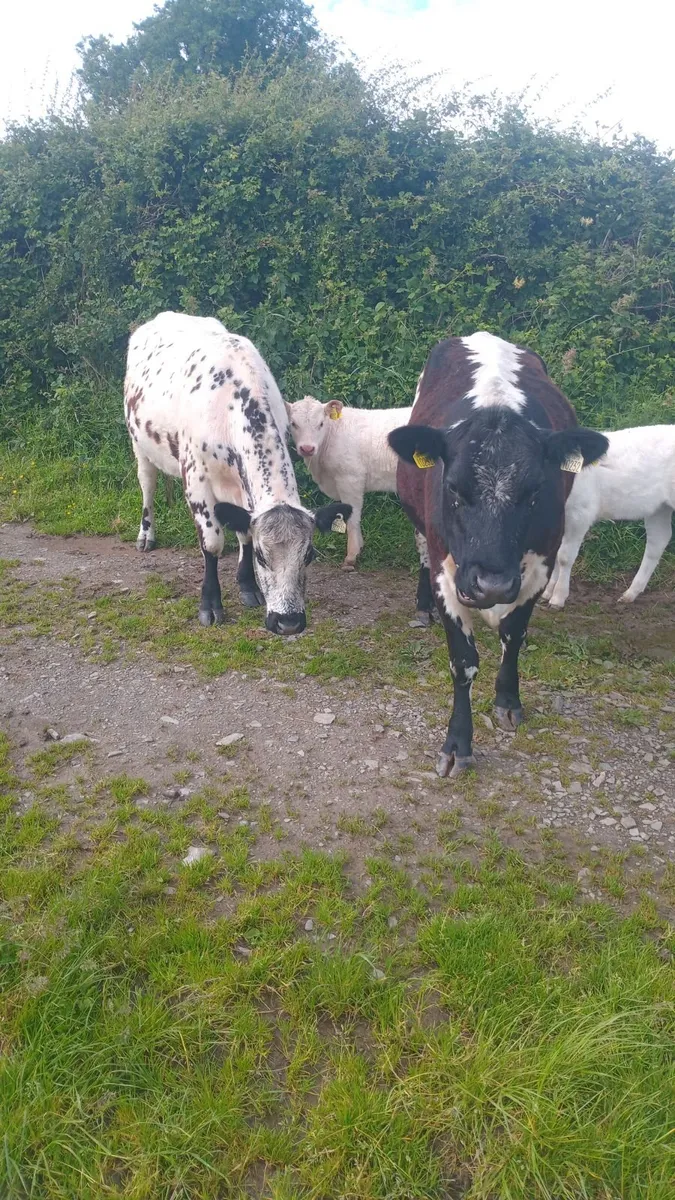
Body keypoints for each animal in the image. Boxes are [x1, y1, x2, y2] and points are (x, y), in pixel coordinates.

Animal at [124, 312, 351, 635]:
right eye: (262, 556)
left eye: (309, 555)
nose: (289, 622)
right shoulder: (196, 480)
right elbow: (211, 543)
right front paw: (210, 604)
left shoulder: (243, 488)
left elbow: (244, 531)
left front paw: (247, 586)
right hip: (139, 444)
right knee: (148, 485)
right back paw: (146, 534)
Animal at [388, 331, 609, 777]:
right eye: (453, 488)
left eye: (535, 492)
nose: (490, 584)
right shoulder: (447, 572)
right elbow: (463, 661)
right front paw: (458, 742)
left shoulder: (538, 567)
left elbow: (513, 634)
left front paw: (508, 700)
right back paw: (422, 608)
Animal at [543, 425, 675, 608]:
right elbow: (557, 552)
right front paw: (548, 591)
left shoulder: (580, 514)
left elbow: (564, 556)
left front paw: (558, 597)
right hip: (659, 508)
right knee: (658, 541)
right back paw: (630, 593)